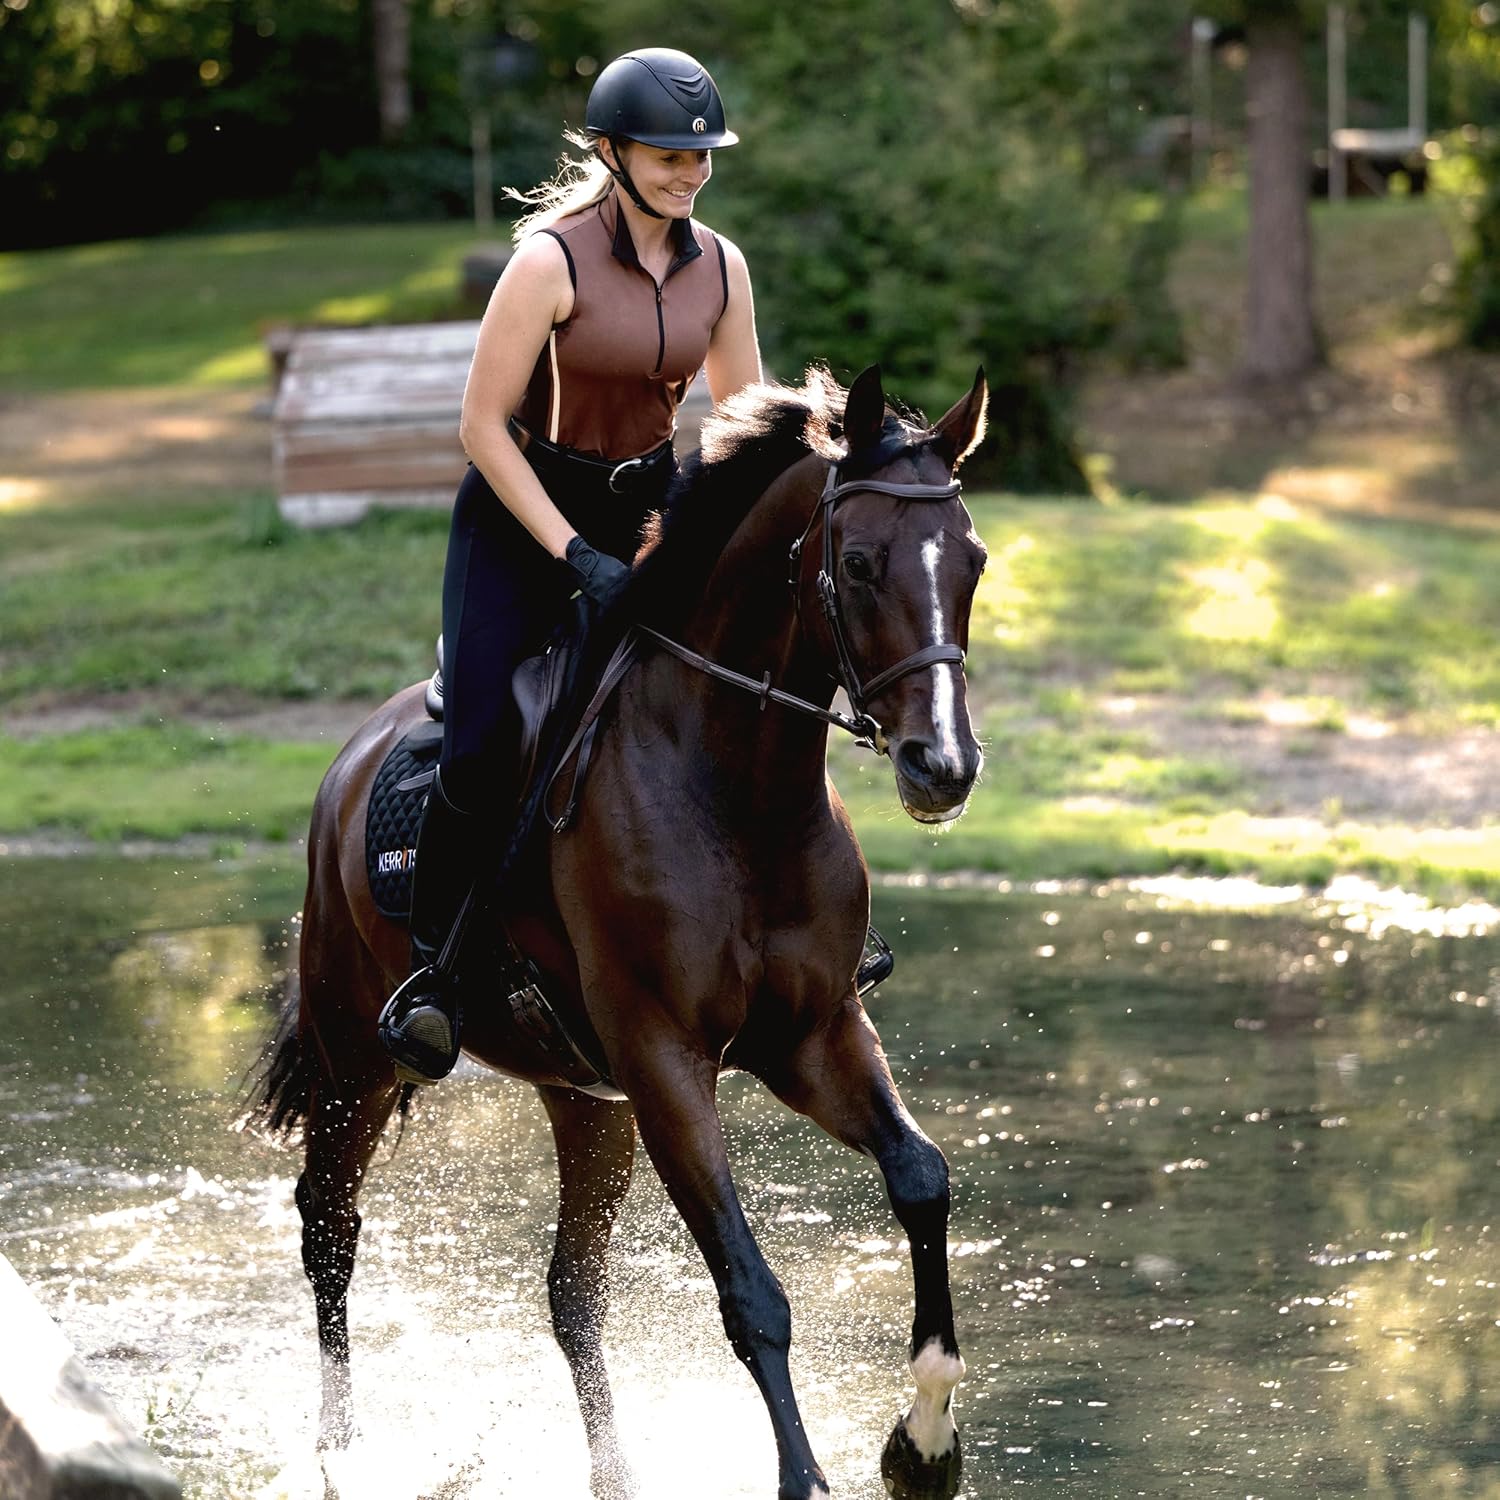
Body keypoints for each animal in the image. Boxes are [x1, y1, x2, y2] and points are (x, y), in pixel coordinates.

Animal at [249, 362, 989, 1500]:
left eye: (975, 562)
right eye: (860, 564)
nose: (941, 767)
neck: (737, 790)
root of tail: (351, 758)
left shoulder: (813, 1036)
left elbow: (920, 1178)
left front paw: (925, 1441)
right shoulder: (666, 1060)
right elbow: (752, 1291)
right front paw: (807, 1477)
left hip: (584, 1099)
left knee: (571, 1290)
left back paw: (611, 1473)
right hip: (356, 1058)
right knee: (329, 1225)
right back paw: (342, 1451)